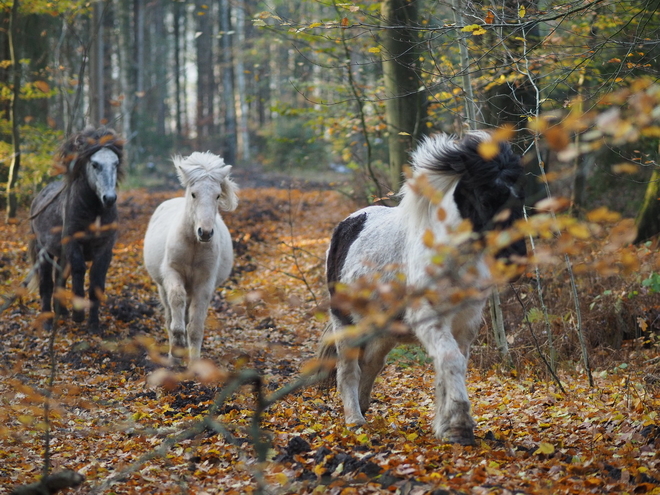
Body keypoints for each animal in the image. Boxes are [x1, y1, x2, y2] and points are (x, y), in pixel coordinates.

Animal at [28, 126, 124, 332]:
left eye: (116, 163)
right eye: (94, 164)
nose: (109, 198)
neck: (94, 213)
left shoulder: (105, 248)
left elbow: (97, 281)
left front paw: (94, 325)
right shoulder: (73, 243)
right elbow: (79, 270)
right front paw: (78, 315)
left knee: (59, 279)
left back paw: (62, 312)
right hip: (43, 251)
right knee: (46, 283)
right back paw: (47, 322)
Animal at [143, 153, 238, 366]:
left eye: (217, 195)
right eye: (194, 194)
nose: (205, 232)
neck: (194, 245)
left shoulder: (204, 282)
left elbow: (195, 327)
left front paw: (194, 364)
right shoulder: (172, 273)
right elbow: (176, 302)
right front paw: (177, 346)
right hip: (162, 287)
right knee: (169, 314)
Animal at [318, 131, 528, 446]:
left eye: (520, 197)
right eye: (486, 195)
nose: (516, 259)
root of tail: (348, 223)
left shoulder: (465, 322)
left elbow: (451, 364)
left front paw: (445, 427)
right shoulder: (429, 317)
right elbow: (450, 360)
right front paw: (459, 427)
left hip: (383, 331)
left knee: (371, 363)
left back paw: (364, 407)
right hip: (345, 323)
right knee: (348, 370)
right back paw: (354, 421)